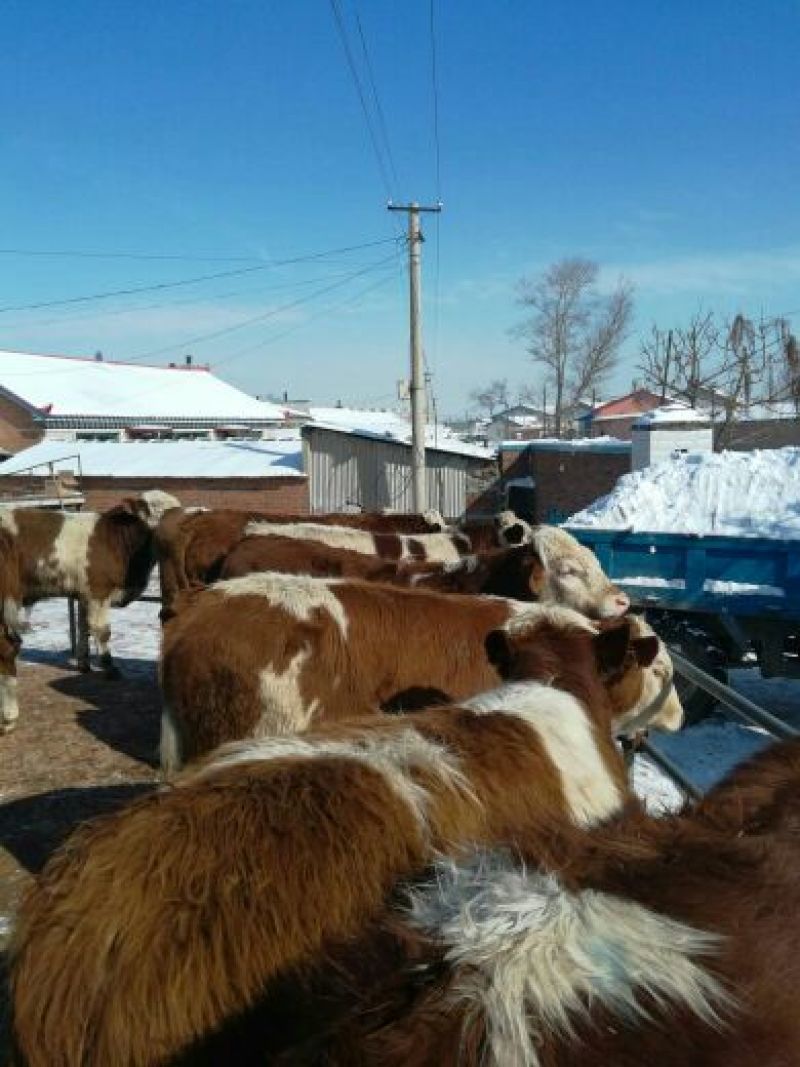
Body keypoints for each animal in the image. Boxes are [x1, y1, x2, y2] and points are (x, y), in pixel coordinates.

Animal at [1, 488, 179, 674]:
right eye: (150, 508)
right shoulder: (98, 592)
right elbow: (102, 631)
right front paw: (109, 667)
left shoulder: (84, 594)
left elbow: (83, 628)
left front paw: (83, 664)